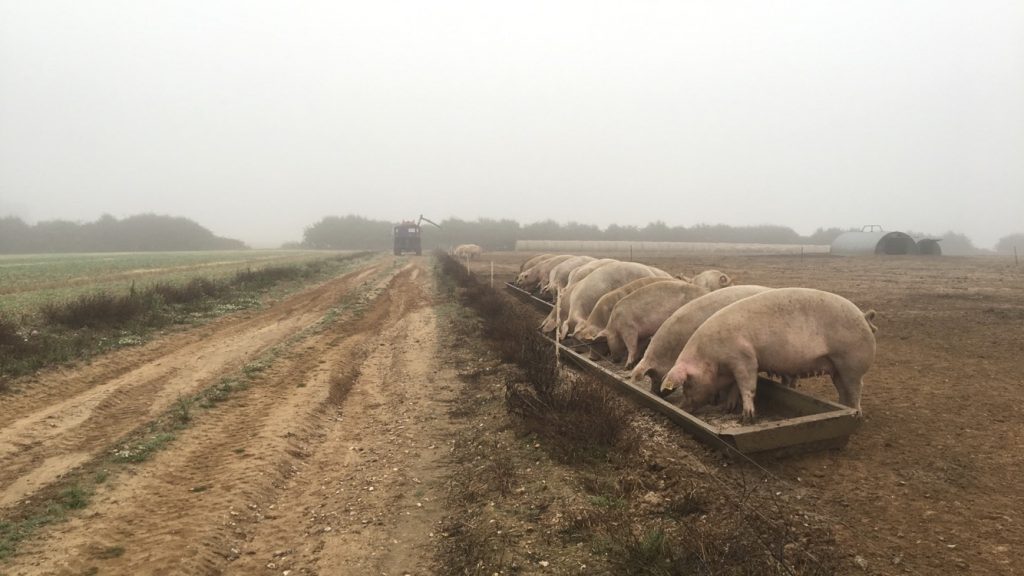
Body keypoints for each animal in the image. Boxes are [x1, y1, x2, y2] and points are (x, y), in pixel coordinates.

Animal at [659, 289, 876, 420]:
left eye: (687, 383)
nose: (681, 407)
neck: (711, 359)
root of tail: (864, 316)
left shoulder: (744, 358)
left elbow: (747, 386)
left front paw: (747, 416)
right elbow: (734, 387)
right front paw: (728, 408)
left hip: (852, 363)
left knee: (857, 389)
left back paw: (858, 414)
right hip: (837, 367)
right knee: (843, 390)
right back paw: (845, 408)